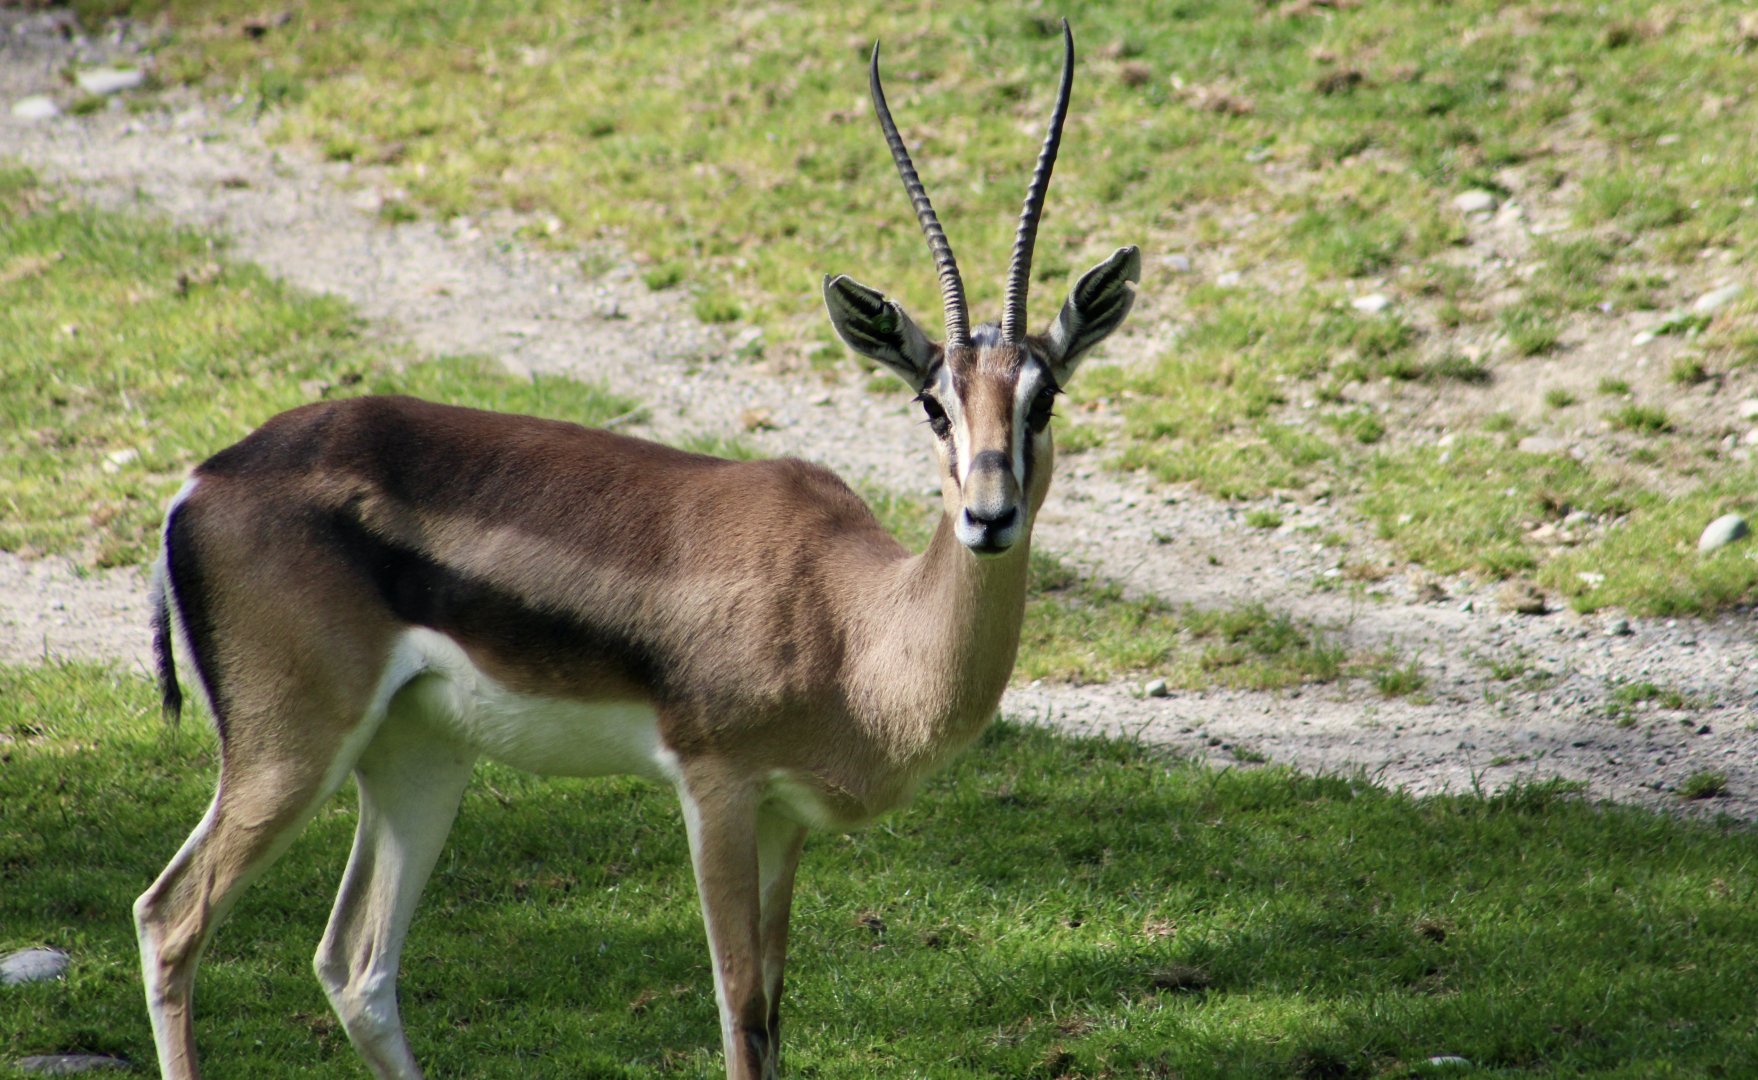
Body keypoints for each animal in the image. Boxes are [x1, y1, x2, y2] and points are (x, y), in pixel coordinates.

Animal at [135, 20, 1138, 1080]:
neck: (850, 622)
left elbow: (774, 1014)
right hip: (290, 752)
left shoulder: (784, 820)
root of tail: (204, 480)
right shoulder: (718, 790)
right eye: (932, 403)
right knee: (171, 921)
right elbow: (739, 1010)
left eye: (1044, 398)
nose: (989, 516)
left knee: (354, 964)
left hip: (417, 758)